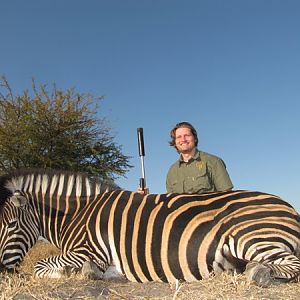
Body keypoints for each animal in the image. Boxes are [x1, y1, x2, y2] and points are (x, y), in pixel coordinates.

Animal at [0, 169, 300, 286]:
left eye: (11, 225)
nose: (3, 272)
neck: (77, 215)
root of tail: (288, 207)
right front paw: (101, 274)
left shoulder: (88, 250)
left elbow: (41, 267)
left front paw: (80, 273)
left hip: (249, 236)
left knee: (289, 265)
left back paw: (256, 272)